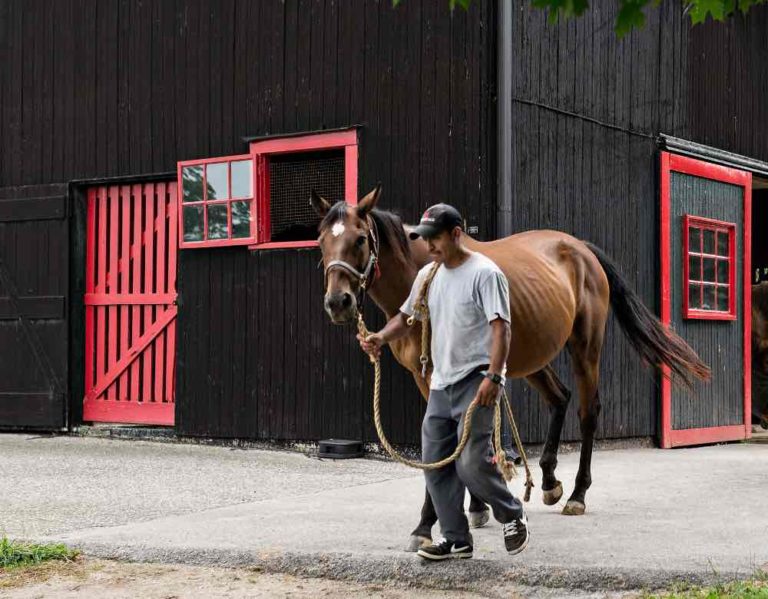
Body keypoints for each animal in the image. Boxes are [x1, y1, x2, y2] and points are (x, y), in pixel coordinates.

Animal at [308, 185, 712, 552]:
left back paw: (577, 494)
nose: (338, 302)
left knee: (588, 411)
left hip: (585, 347)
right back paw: (549, 482)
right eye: (321, 241)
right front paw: (474, 509)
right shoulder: (428, 378)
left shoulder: (442, 374)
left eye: (360, 239)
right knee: (559, 398)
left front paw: (426, 525)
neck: (423, 275)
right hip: (530, 355)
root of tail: (581, 248)